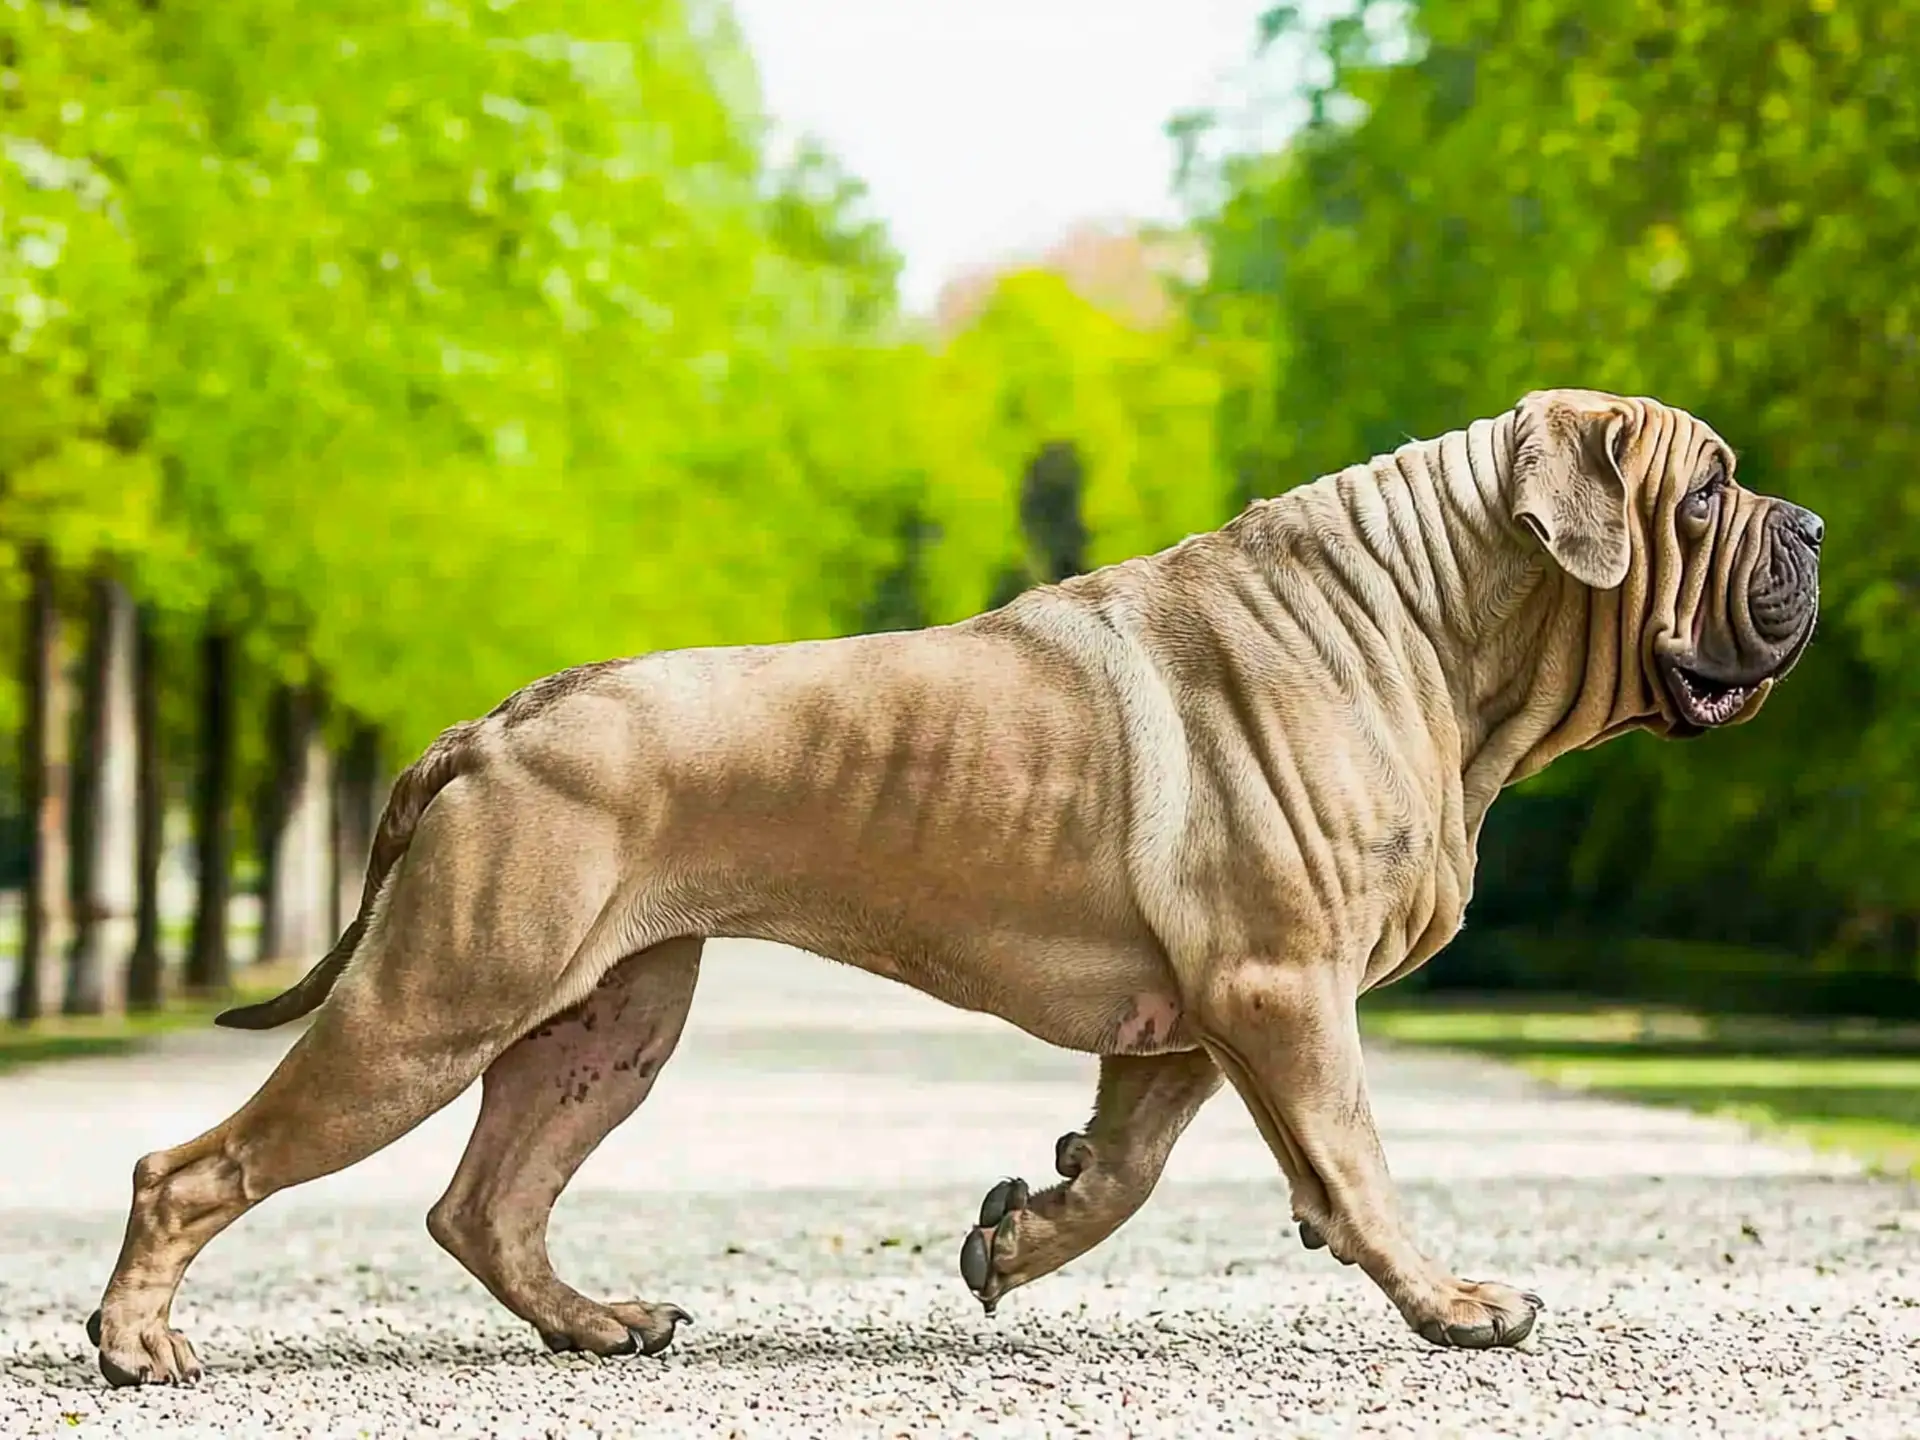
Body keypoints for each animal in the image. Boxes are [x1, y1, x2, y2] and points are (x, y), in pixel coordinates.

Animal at [86, 391, 1827, 1390]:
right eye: (1703, 494)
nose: (1807, 524)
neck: (1429, 621)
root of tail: (497, 718)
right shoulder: (1280, 991)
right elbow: (1358, 1161)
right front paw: (1452, 1304)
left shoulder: (1197, 1018)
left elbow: (1130, 1171)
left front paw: (1021, 1234)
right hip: (435, 1006)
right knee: (189, 1169)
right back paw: (138, 1342)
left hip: (600, 1031)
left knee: (483, 1203)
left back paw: (595, 1327)